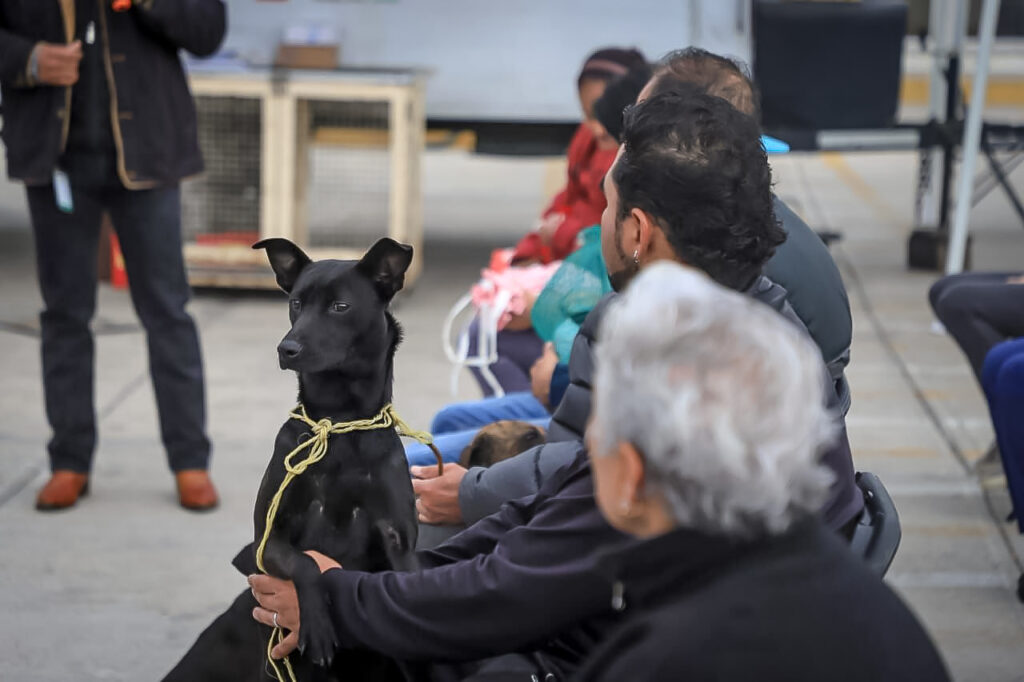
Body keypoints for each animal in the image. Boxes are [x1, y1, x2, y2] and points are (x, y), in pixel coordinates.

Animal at [162, 237, 423, 679]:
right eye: (296, 303)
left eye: (340, 306)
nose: (287, 348)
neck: (338, 422)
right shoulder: (266, 541)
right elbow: (306, 564)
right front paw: (315, 624)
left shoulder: (398, 542)